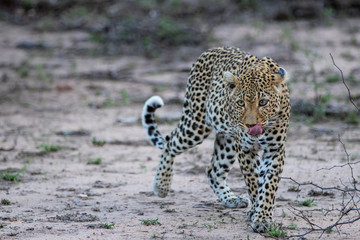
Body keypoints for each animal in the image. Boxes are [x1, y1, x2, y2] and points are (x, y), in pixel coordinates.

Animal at [141, 47, 290, 232]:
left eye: (263, 102)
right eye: (240, 103)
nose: (250, 125)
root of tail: (210, 50)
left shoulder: (275, 149)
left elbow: (269, 184)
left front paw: (263, 217)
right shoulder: (245, 148)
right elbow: (254, 182)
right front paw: (256, 212)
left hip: (227, 140)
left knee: (213, 169)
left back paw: (231, 198)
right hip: (196, 125)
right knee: (170, 141)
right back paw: (161, 186)